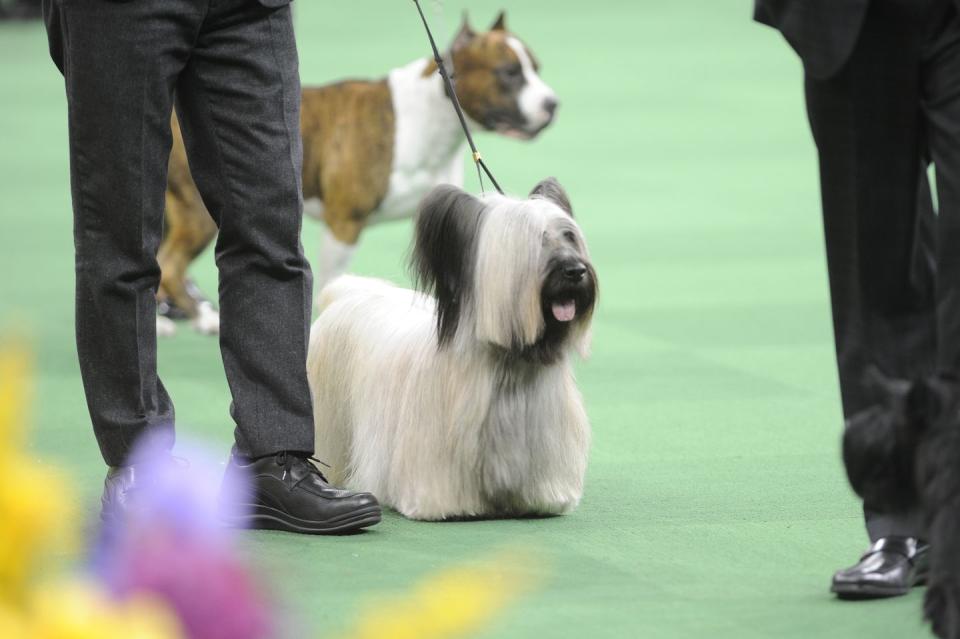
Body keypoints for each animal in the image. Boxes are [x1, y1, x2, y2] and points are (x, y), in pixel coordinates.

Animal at [161, 12, 560, 338]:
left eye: (537, 68)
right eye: (509, 73)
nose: (553, 104)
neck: (432, 116)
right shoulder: (344, 225)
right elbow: (333, 282)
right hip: (198, 214)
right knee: (169, 265)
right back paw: (195, 317)